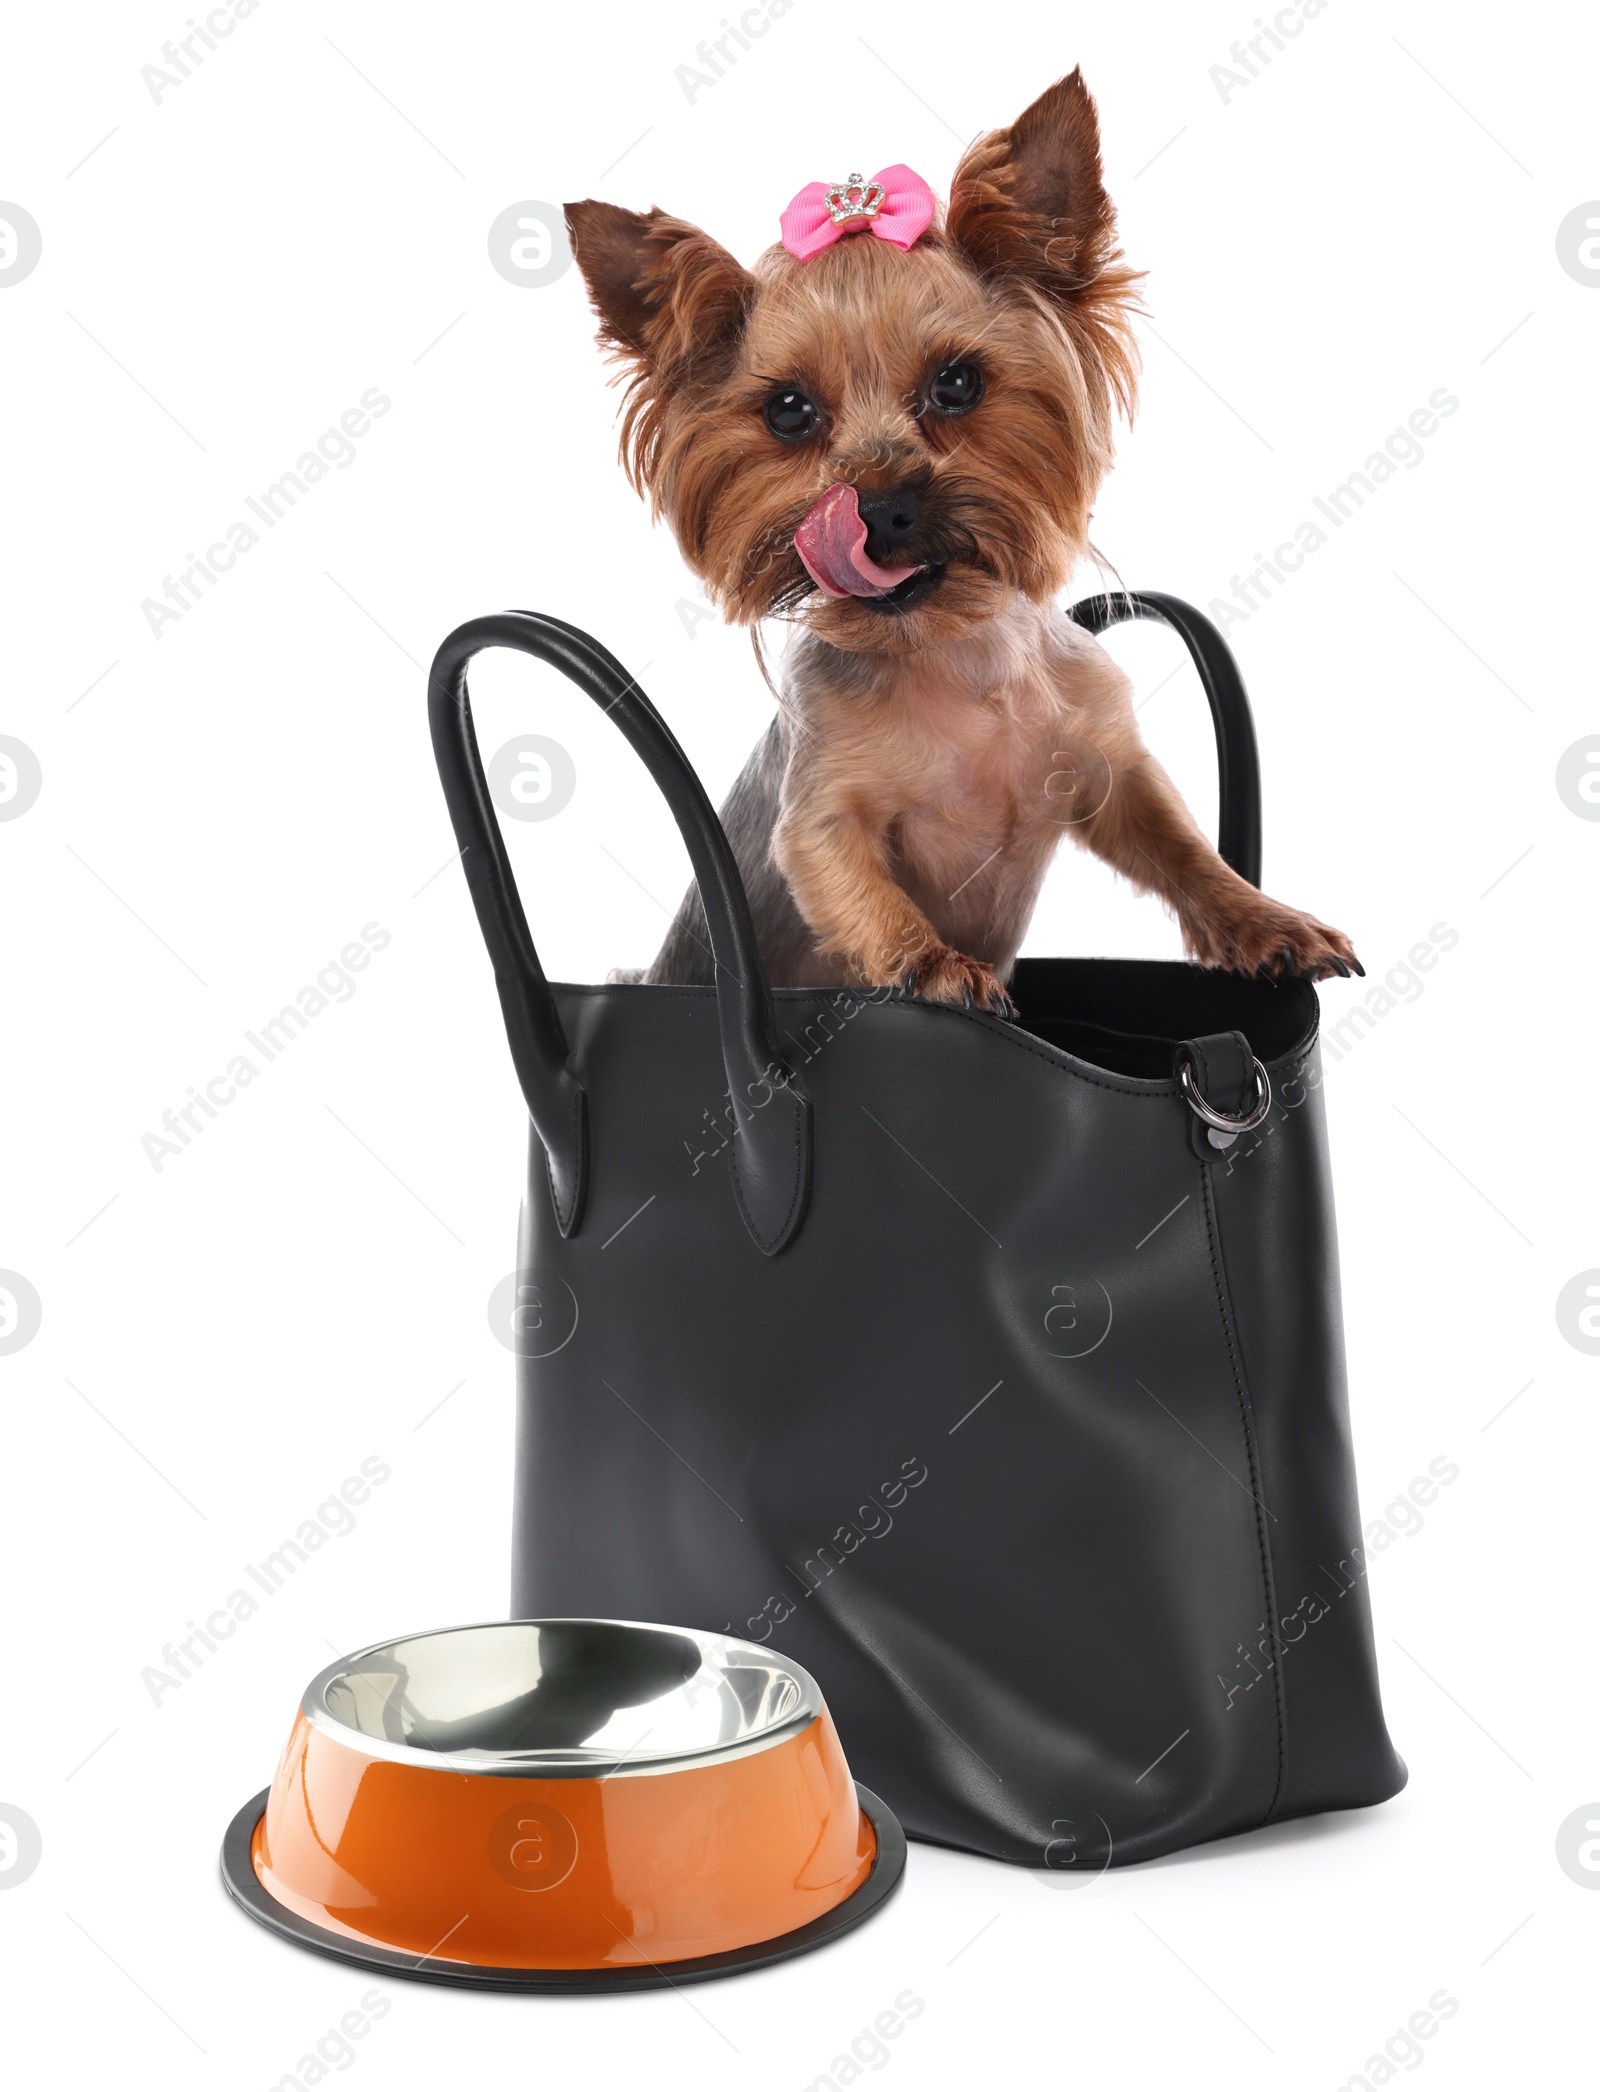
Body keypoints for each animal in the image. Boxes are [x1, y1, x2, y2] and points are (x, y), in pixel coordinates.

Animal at [560, 67, 1363, 1012]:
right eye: (788, 411)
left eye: (958, 383)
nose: (877, 508)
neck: (949, 650)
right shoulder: (822, 813)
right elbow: (858, 887)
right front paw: (935, 964)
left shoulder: (1107, 770)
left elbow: (1181, 845)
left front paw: (1265, 920)